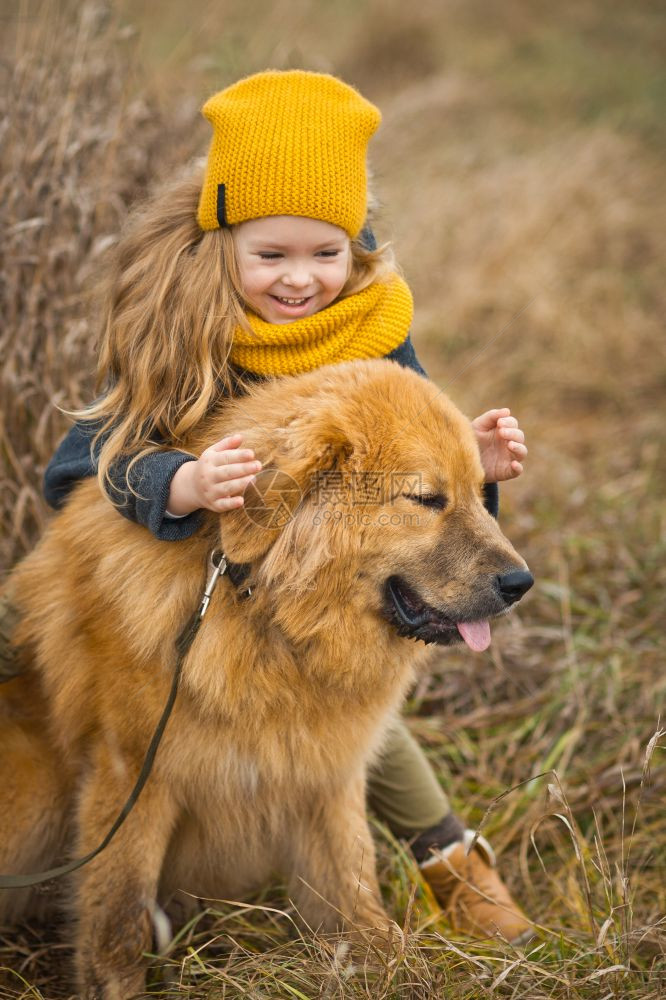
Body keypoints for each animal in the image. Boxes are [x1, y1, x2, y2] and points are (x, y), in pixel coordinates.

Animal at [0, 360, 528, 992]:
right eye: (426, 498)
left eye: (479, 493)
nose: (522, 583)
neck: (264, 612)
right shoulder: (133, 774)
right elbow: (118, 915)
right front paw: (116, 987)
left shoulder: (325, 773)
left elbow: (354, 884)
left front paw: (391, 966)